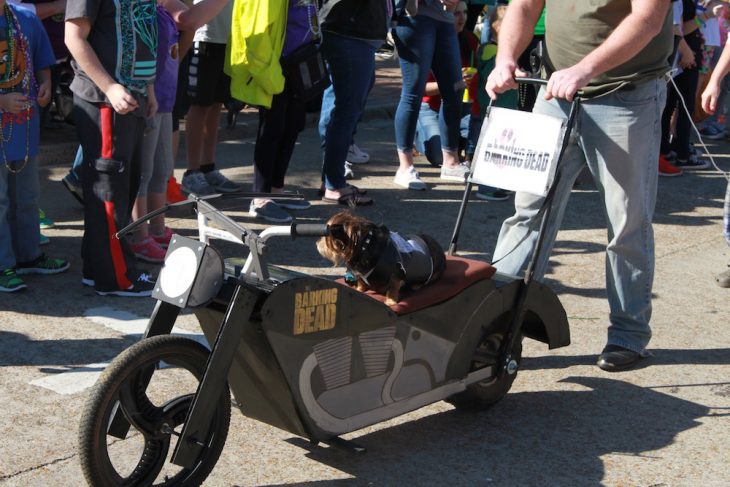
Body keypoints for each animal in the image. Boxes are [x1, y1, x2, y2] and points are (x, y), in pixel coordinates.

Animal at [318, 211, 446, 304]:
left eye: (325, 236)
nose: (317, 244)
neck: (365, 245)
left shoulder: (397, 272)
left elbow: (393, 288)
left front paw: (390, 301)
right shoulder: (360, 275)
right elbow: (361, 282)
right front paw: (359, 290)